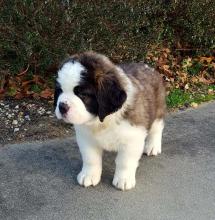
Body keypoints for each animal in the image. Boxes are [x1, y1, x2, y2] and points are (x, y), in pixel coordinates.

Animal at [54, 51, 165, 191]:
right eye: (59, 90)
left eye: (83, 94)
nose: (62, 107)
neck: (102, 121)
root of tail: (148, 67)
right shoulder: (86, 138)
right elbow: (90, 158)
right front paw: (89, 175)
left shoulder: (132, 137)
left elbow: (125, 161)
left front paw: (124, 179)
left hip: (158, 110)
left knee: (157, 128)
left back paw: (152, 146)